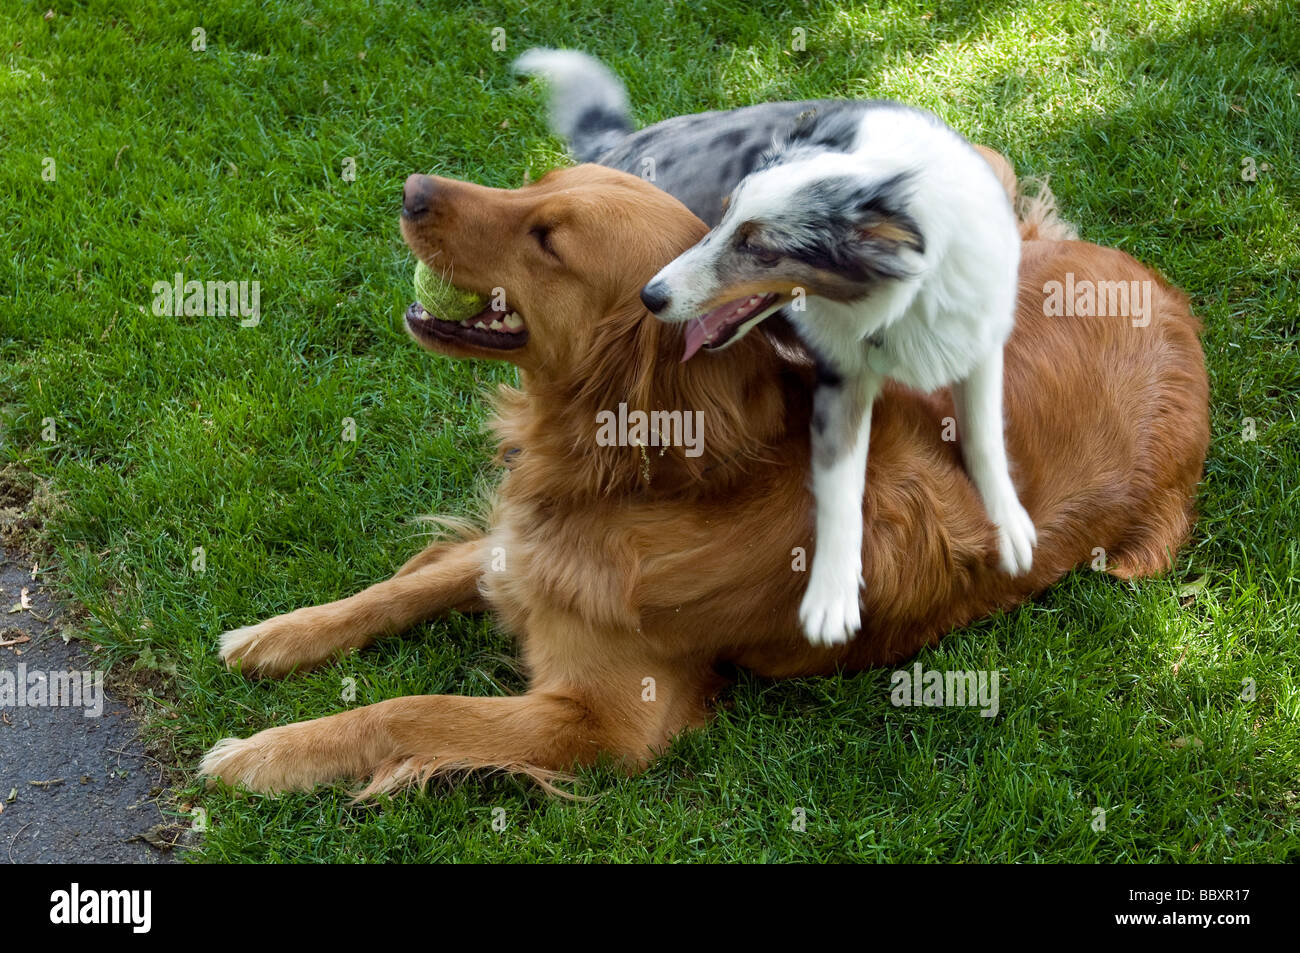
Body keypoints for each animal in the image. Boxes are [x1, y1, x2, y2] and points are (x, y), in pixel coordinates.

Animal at [197, 159, 1201, 790]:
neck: (643, 478)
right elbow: (399, 588)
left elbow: (411, 710)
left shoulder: (602, 719)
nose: (410, 189)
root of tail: (1165, 293)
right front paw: (278, 633)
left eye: (548, 237)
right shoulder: (522, 551)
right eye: (534, 185)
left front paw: (265, 753)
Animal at [517, 48, 1034, 642]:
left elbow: (984, 436)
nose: (651, 296)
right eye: (721, 215)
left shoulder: (978, 339)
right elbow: (840, 486)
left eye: (761, 248)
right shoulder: (840, 377)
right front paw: (831, 599)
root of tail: (617, 145)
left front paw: (1010, 526)